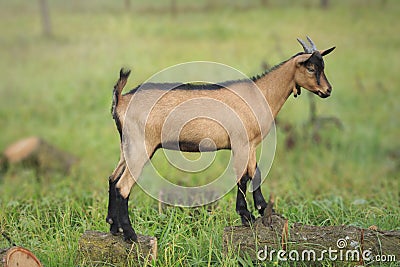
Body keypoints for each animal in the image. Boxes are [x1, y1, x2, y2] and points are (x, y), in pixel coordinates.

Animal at [105, 36, 334, 242]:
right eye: (311, 68)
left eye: (322, 66)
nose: (327, 90)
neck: (260, 94)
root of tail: (121, 100)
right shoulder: (241, 143)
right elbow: (246, 176)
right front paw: (249, 215)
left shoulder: (249, 145)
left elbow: (253, 174)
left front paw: (258, 210)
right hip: (142, 145)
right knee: (123, 186)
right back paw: (131, 235)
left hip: (127, 146)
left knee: (113, 178)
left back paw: (113, 227)